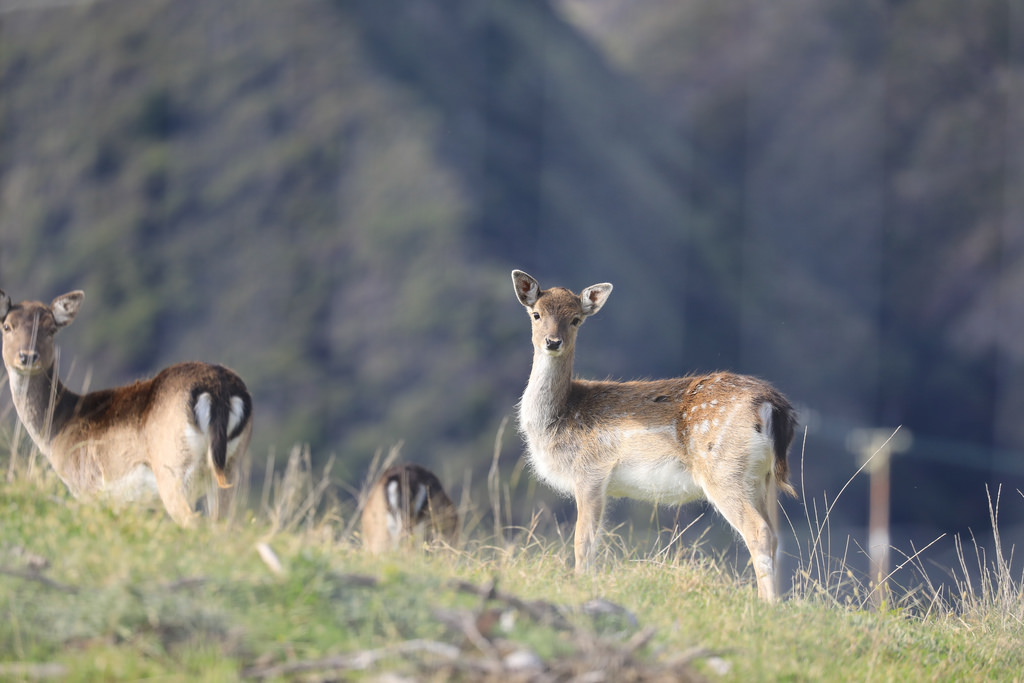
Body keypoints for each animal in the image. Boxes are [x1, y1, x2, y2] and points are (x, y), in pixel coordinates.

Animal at [1, 286, 252, 528]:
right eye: (7, 326)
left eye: (51, 329)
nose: (27, 356)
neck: (59, 430)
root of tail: (219, 391)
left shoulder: (88, 486)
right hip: (230, 468)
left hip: (173, 468)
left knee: (193, 521)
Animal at [512, 270, 798, 602]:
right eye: (536, 314)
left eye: (575, 319)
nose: (552, 341)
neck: (559, 419)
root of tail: (772, 405)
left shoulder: (590, 471)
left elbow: (584, 542)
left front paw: (580, 584)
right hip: (759, 478)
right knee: (776, 535)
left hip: (723, 468)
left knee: (758, 531)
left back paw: (767, 604)